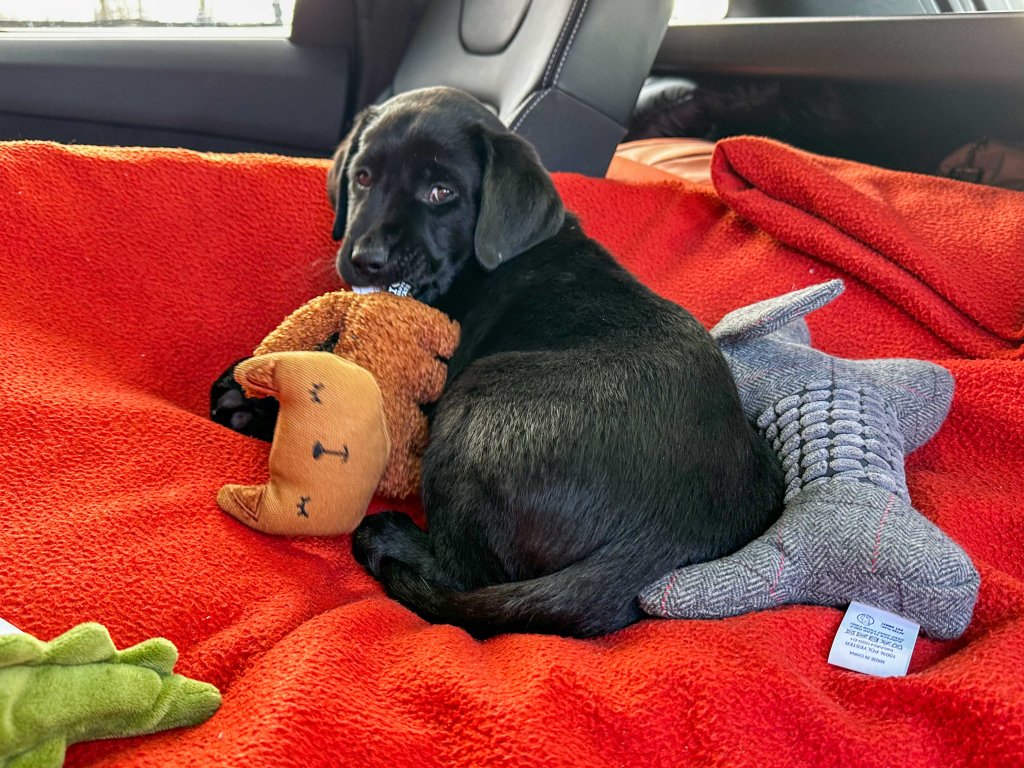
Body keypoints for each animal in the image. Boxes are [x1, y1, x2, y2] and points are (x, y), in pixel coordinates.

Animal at [319, 86, 783, 639]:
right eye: (363, 177)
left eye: (441, 192)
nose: (366, 259)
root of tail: (676, 526)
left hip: (480, 395)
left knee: (466, 571)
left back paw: (389, 539)